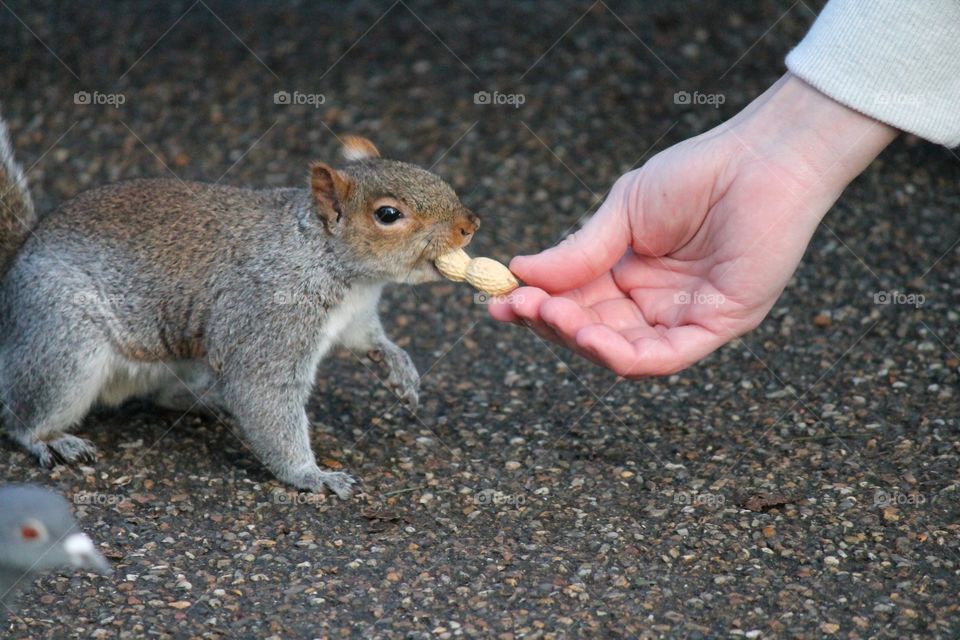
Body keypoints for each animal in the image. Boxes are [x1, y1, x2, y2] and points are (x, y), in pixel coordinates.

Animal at [0, 112, 480, 498]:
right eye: (387, 215)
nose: (470, 224)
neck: (339, 269)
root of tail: (15, 265)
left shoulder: (355, 315)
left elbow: (370, 339)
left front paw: (399, 367)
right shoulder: (269, 317)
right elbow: (262, 392)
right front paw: (311, 475)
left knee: (167, 395)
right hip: (64, 342)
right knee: (22, 412)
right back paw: (49, 439)